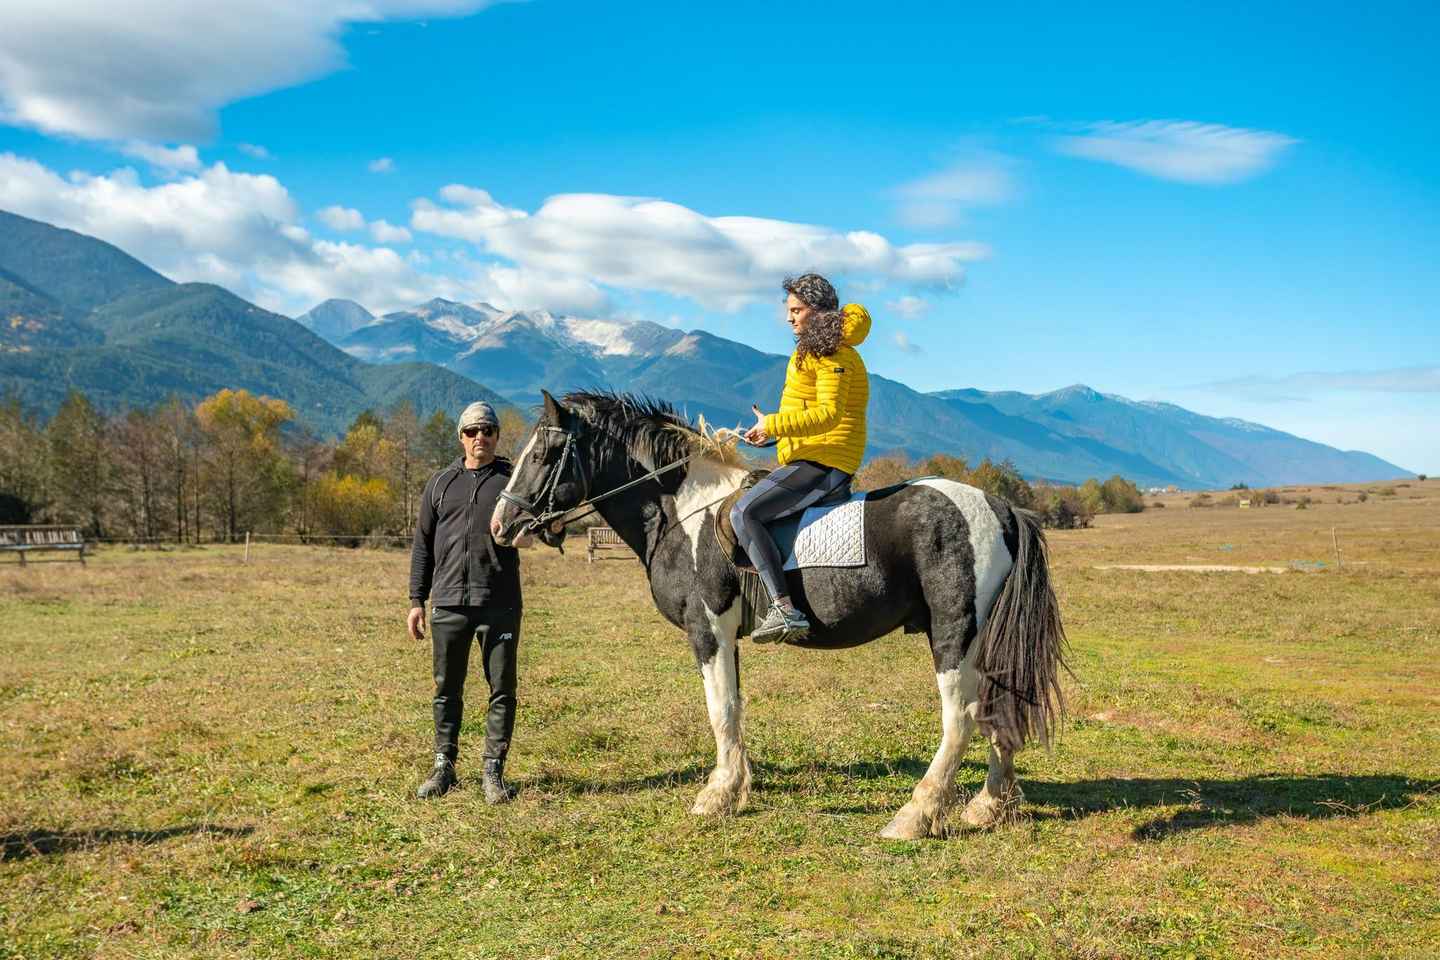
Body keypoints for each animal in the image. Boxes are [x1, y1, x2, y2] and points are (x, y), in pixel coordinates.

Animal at [490, 390, 1070, 839]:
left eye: (545, 452)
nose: (500, 524)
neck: (685, 511)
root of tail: (999, 506)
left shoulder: (708, 629)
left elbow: (720, 710)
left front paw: (716, 796)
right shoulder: (726, 637)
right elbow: (735, 709)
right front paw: (737, 786)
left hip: (954, 633)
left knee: (962, 718)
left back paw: (916, 814)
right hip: (986, 639)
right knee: (1000, 708)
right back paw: (988, 806)